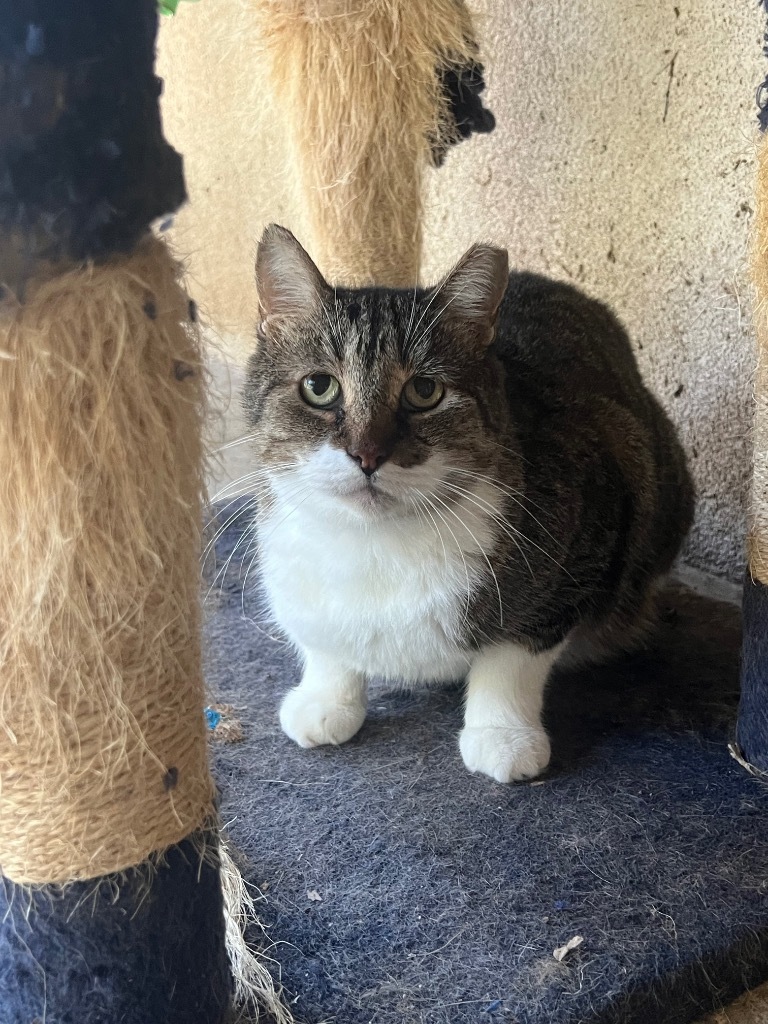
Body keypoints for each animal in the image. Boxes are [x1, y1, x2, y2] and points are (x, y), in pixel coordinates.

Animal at [243, 224, 696, 782]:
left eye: (424, 390)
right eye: (319, 386)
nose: (368, 455)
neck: (376, 543)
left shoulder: (583, 545)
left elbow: (511, 657)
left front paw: (502, 736)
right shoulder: (292, 574)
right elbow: (325, 644)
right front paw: (326, 700)